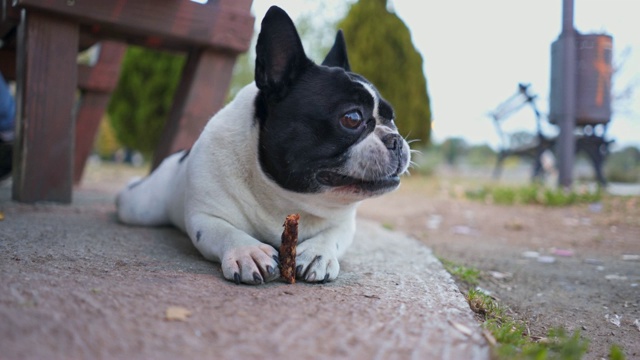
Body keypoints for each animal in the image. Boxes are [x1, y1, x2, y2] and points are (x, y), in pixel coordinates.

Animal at [116, 5, 410, 286]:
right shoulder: (205, 216)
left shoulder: (344, 223)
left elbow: (332, 236)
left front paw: (318, 253)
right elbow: (226, 230)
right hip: (142, 208)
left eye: (392, 118)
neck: (285, 195)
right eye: (352, 118)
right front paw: (248, 252)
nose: (396, 140)